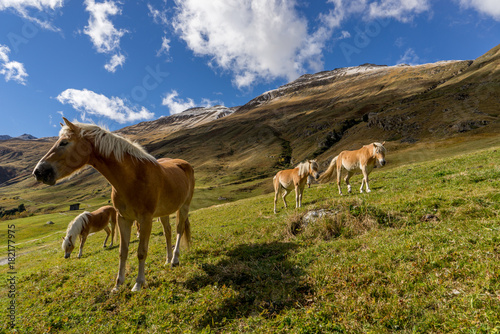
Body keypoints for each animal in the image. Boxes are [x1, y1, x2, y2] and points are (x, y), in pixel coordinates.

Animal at [32, 118, 193, 292]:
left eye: (64, 142)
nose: (38, 172)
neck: (133, 177)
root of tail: (183, 163)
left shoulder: (145, 219)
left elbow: (141, 252)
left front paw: (138, 283)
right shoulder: (124, 219)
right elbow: (123, 251)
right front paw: (118, 284)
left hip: (184, 207)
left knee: (179, 230)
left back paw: (175, 260)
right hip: (163, 213)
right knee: (168, 232)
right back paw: (168, 260)